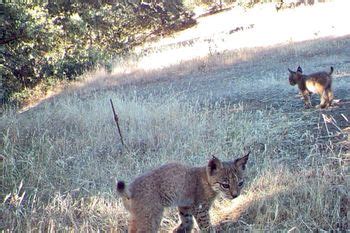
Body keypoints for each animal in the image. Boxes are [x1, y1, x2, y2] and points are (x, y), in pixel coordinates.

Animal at [115, 152, 249, 232]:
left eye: (240, 183)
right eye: (225, 185)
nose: (235, 195)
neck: (208, 180)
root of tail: (130, 188)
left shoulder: (185, 204)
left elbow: (187, 220)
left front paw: (179, 230)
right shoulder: (200, 209)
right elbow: (205, 225)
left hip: (139, 215)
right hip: (151, 215)